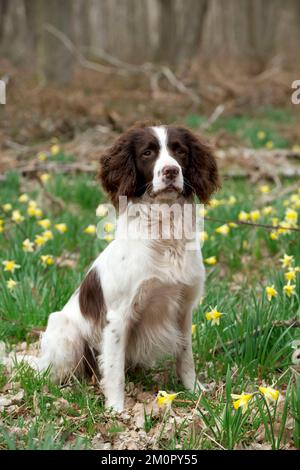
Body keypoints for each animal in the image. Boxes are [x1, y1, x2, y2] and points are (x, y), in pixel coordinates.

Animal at [24, 123, 219, 410]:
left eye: (180, 151)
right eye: (148, 152)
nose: (171, 171)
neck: (165, 235)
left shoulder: (183, 309)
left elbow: (186, 356)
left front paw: (194, 390)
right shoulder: (118, 316)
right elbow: (114, 370)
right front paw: (116, 408)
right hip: (65, 332)